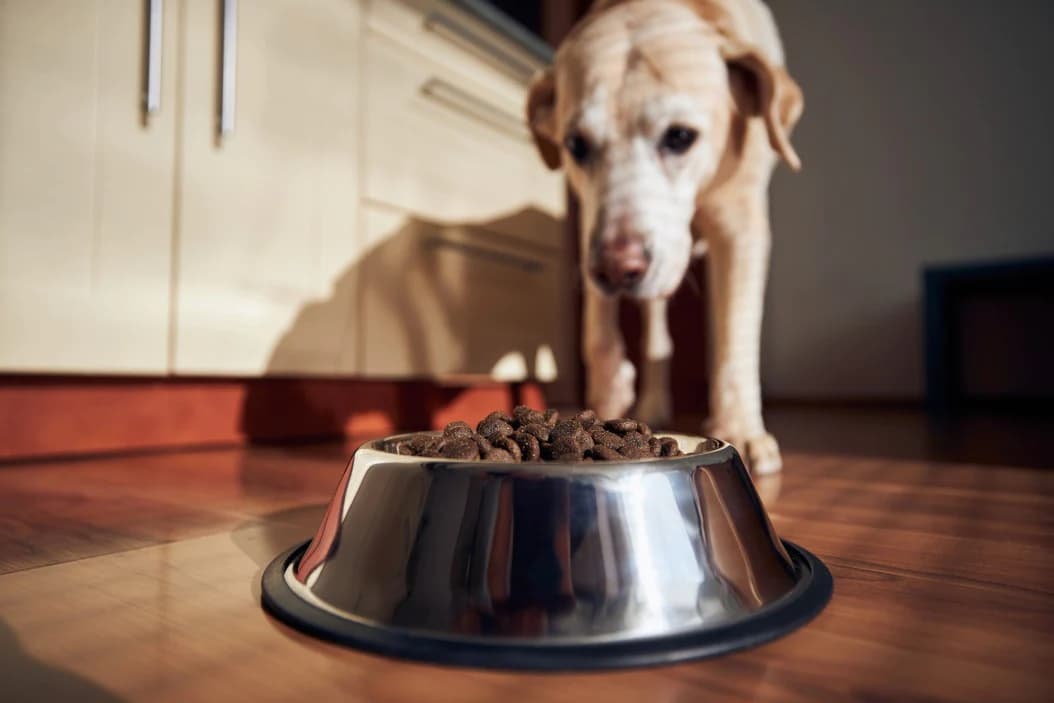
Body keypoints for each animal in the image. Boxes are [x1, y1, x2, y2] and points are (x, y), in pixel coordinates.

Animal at [522, 0, 801, 476]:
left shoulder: (741, 223)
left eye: (680, 136)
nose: (618, 270)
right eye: (576, 145)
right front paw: (610, 391)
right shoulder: (592, 223)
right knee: (656, 336)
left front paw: (742, 431)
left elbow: (736, 336)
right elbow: (597, 330)